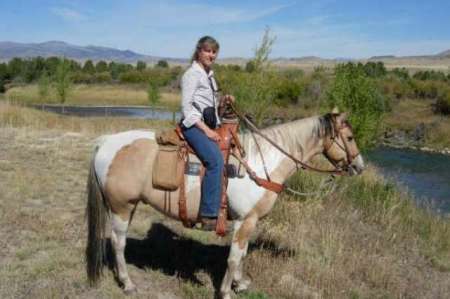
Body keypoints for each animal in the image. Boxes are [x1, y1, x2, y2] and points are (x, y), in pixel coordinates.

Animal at [85, 110, 366, 299]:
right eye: (350, 137)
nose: (359, 167)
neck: (261, 163)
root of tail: (106, 142)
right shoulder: (245, 220)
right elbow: (233, 257)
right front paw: (226, 291)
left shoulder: (249, 221)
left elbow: (242, 254)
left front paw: (240, 284)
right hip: (121, 207)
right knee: (118, 243)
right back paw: (128, 283)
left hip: (128, 206)